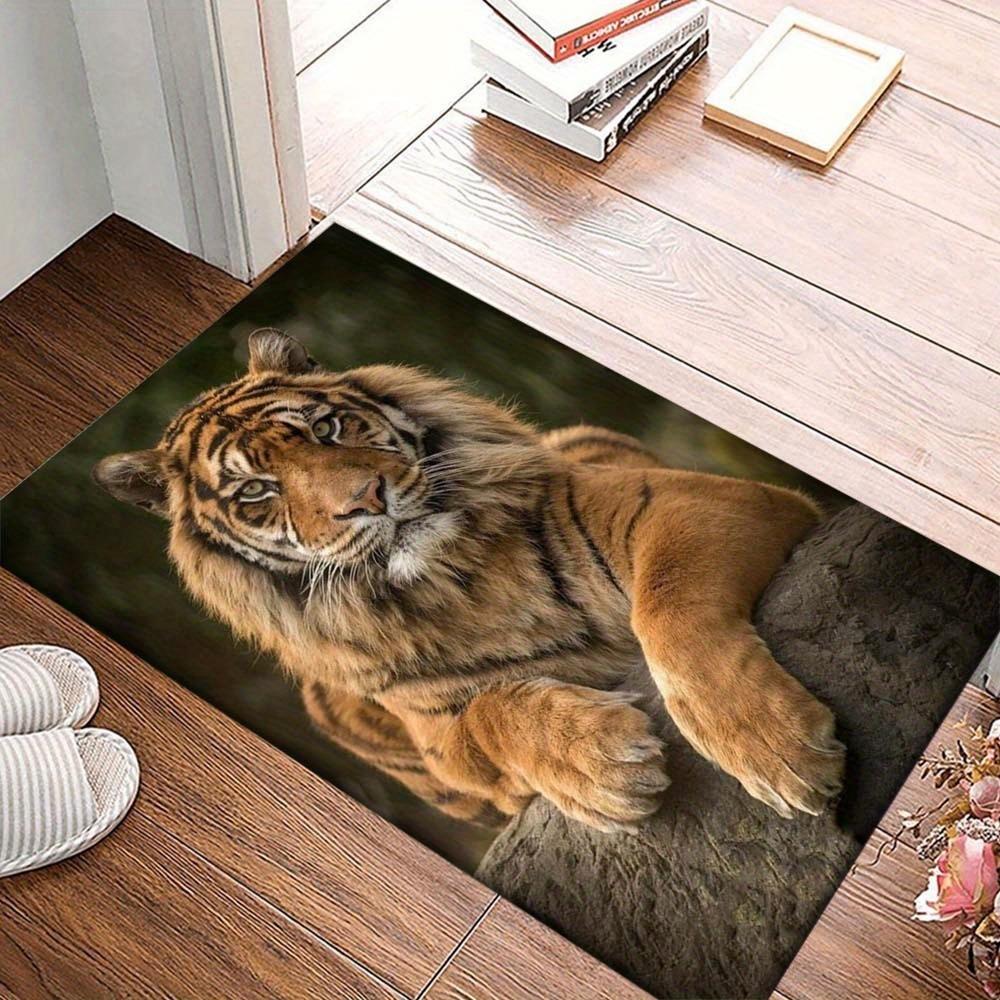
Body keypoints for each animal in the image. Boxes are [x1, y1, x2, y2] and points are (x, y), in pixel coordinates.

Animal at [93, 328, 844, 832]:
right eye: (255, 491)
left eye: (328, 427)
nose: (365, 498)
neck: (459, 580)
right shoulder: (456, 753)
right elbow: (492, 712)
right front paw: (605, 769)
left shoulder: (692, 501)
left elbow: (667, 608)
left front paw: (780, 753)